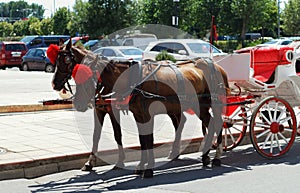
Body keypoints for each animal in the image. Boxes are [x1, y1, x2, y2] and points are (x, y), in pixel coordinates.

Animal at [50, 40, 231, 178]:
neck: (133, 80)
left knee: (217, 123)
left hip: (211, 104)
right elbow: (139, 140)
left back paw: (216, 156)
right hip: (197, 106)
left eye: (66, 61)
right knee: (205, 123)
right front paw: (141, 165)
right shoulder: (135, 114)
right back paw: (204, 155)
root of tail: (214, 66)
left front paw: (146, 168)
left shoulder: (141, 113)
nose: (55, 84)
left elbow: (144, 139)